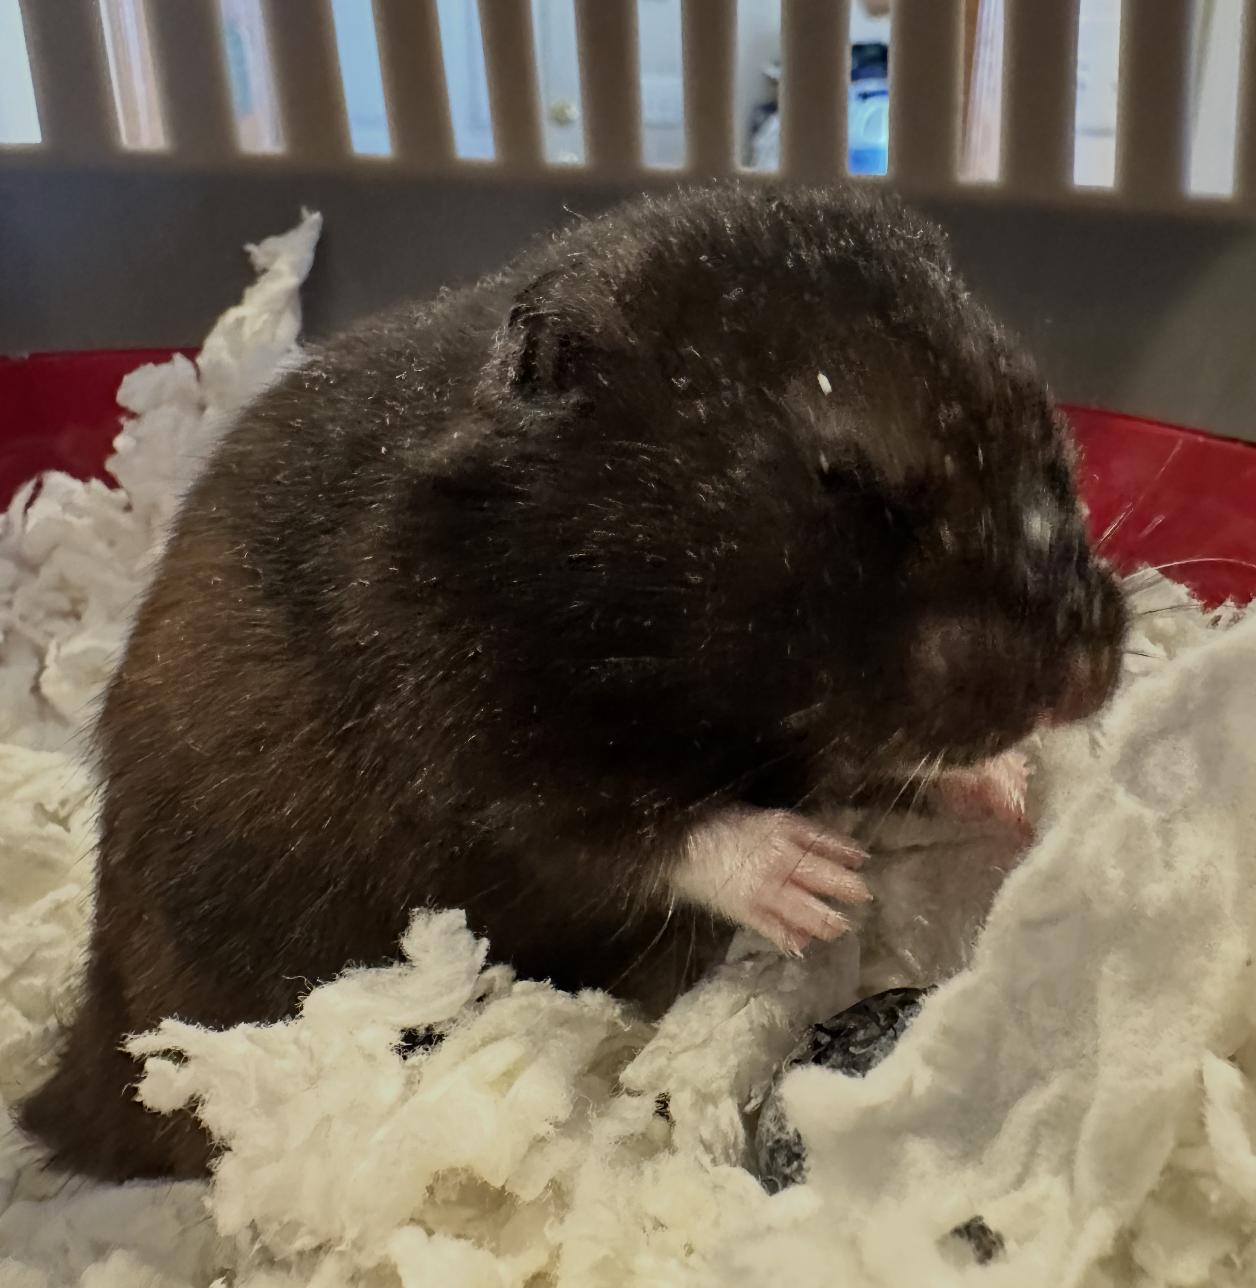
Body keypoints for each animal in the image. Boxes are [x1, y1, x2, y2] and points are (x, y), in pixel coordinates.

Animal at [20, 183, 1127, 1181]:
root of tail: (75, 1079)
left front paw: (1013, 790)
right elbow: (630, 830)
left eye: (1054, 448)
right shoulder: (470, 756)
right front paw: (822, 883)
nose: (1085, 677)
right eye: (853, 490)